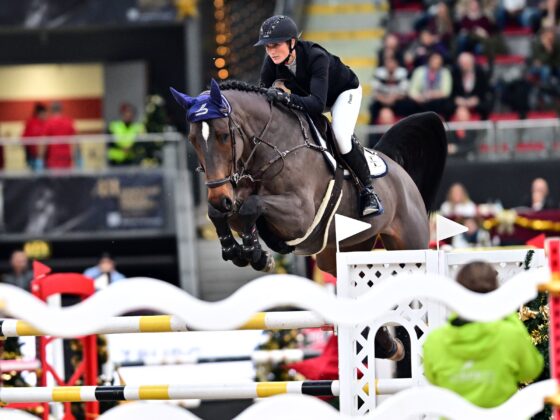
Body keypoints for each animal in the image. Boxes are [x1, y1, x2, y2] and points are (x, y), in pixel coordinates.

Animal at [171, 79, 446, 360]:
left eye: (223, 136)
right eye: (193, 140)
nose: (219, 197)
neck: (270, 149)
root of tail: (399, 172)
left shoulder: (299, 215)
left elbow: (252, 206)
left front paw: (258, 255)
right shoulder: (235, 200)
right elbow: (224, 213)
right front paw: (241, 251)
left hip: (409, 244)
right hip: (342, 252)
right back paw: (389, 346)